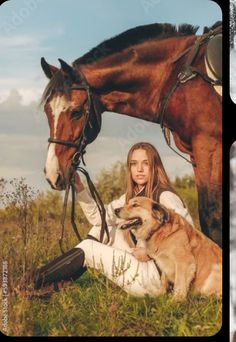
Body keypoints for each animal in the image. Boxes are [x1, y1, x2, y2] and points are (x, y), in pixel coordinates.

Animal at [40, 22, 221, 246]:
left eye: (76, 112)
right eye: (47, 111)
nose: (52, 175)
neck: (177, 78)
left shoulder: (209, 147)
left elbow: (212, 218)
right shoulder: (197, 154)